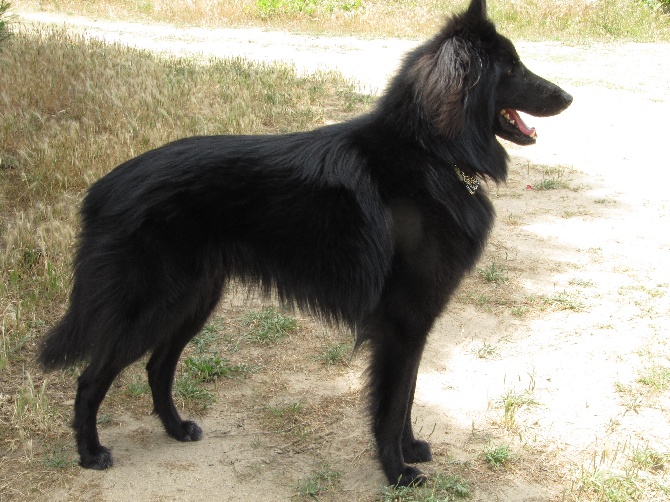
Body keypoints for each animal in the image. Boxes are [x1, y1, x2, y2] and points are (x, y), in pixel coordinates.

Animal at [38, 0, 572, 486]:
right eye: (512, 68)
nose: (567, 97)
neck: (432, 152)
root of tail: (103, 189)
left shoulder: (414, 326)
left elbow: (407, 396)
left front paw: (410, 449)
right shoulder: (401, 325)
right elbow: (391, 402)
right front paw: (396, 472)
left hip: (192, 300)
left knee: (156, 367)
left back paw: (175, 428)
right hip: (152, 305)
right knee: (91, 378)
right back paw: (90, 453)